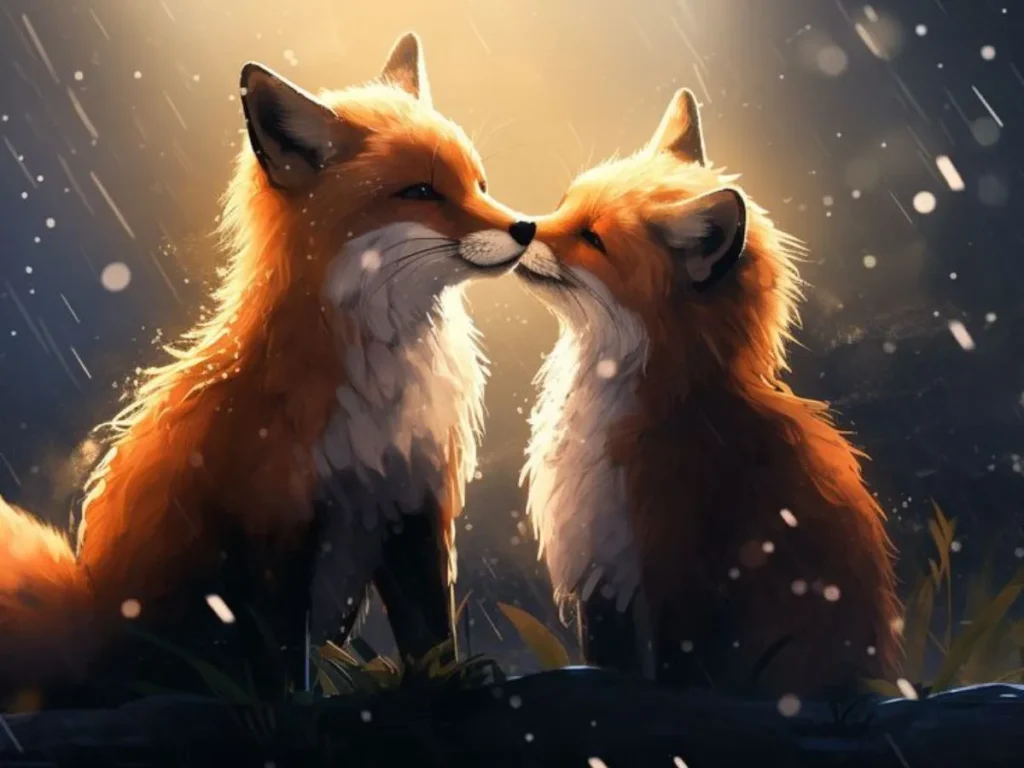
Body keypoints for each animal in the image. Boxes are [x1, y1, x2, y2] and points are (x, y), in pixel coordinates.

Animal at [0, 33, 541, 703]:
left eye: (478, 184)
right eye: (421, 192)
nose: (527, 227)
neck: (378, 390)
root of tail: (87, 625)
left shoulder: (415, 502)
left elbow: (429, 629)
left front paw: (448, 685)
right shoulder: (276, 522)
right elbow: (283, 654)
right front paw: (293, 707)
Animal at [516, 88, 902, 697]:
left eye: (592, 238)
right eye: (563, 205)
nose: (520, 226)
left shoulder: (683, 571)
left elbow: (683, 678)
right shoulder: (603, 574)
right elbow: (610, 667)